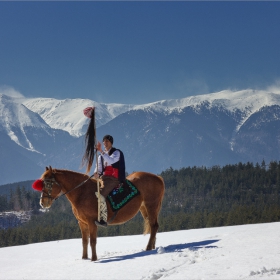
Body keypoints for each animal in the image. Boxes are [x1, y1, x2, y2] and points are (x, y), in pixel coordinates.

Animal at [34, 166, 165, 260]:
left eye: (48, 183)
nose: (42, 203)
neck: (82, 192)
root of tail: (157, 177)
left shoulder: (92, 222)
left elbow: (92, 241)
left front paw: (94, 259)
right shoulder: (82, 223)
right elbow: (84, 241)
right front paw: (84, 258)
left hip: (151, 206)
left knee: (154, 226)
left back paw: (148, 248)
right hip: (145, 208)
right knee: (153, 226)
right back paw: (152, 246)